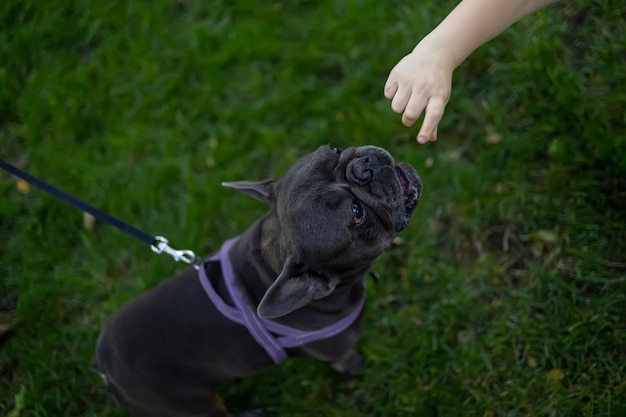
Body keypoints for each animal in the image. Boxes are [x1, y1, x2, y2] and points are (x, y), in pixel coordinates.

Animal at [92, 145, 422, 414]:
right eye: (357, 212)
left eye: (335, 149)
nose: (364, 167)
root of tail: (102, 364)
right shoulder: (341, 354)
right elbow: (354, 364)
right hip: (190, 405)